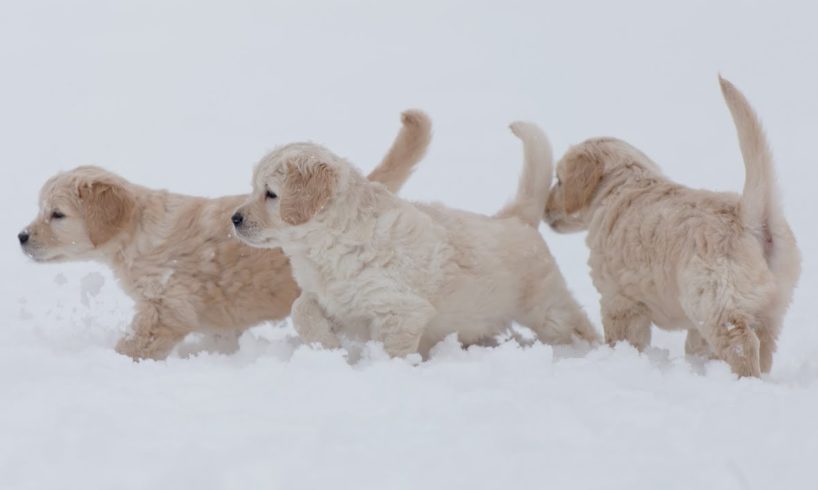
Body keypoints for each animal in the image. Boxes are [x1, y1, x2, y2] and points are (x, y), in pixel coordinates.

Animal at [17, 111, 434, 360]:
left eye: (56, 215)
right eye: (41, 210)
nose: (20, 236)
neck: (137, 231)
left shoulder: (165, 308)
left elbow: (137, 342)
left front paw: (116, 357)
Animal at [233, 120, 596, 358]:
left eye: (271, 194)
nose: (234, 219)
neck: (327, 245)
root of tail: (515, 218)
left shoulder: (400, 310)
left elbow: (393, 349)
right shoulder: (332, 298)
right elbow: (301, 309)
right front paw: (327, 345)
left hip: (547, 309)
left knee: (577, 325)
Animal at [540, 77, 796, 376]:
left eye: (559, 179)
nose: (544, 209)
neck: (621, 185)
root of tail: (748, 216)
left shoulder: (619, 299)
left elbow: (622, 338)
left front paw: (618, 358)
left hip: (716, 303)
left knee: (741, 344)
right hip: (771, 308)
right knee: (762, 346)